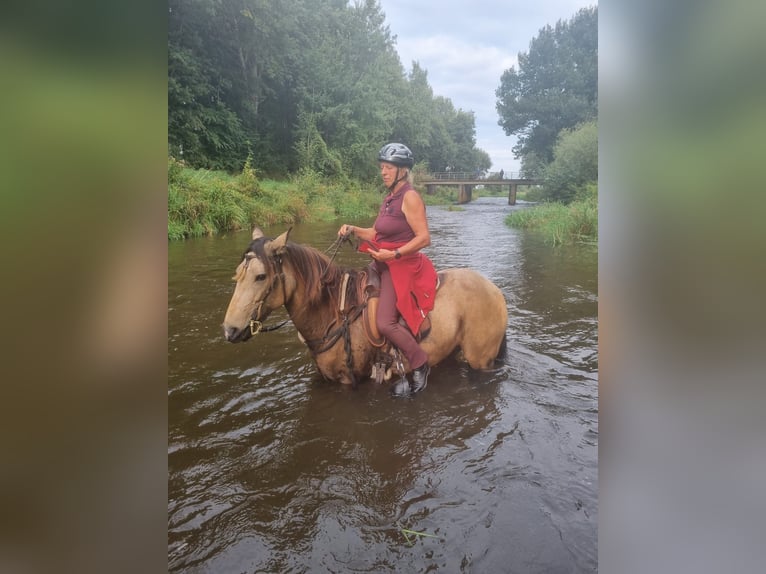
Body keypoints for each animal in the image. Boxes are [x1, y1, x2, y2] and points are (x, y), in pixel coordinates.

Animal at [222, 227, 508, 386]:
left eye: (260, 276)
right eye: (237, 274)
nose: (229, 330)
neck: (332, 313)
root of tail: (495, 290)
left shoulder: (347, 381)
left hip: (481, 360)